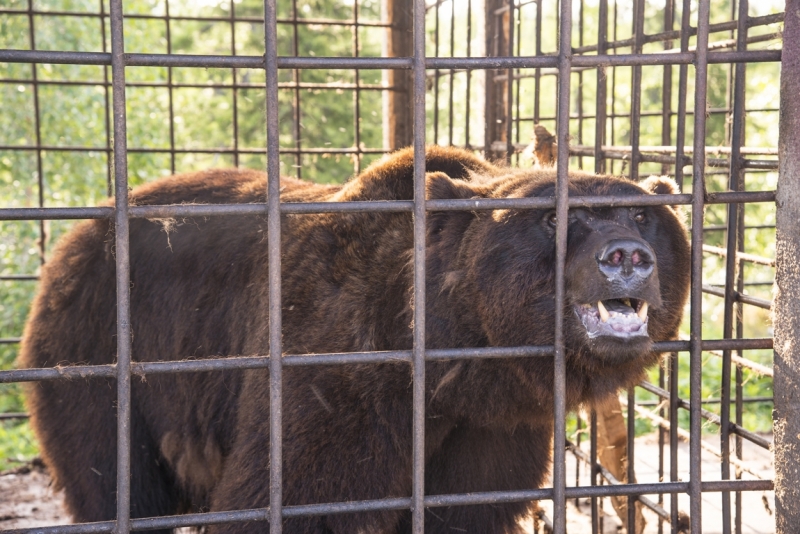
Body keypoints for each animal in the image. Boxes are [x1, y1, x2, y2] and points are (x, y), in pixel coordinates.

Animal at [21, 147, 692, 534]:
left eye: (641, 215)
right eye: (557, 217)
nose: (625, 256)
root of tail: (79, 232)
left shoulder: (494, 428)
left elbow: (468, 509)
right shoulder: (339, 373)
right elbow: (300, 493)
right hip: (101, 352)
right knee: (114, 480)